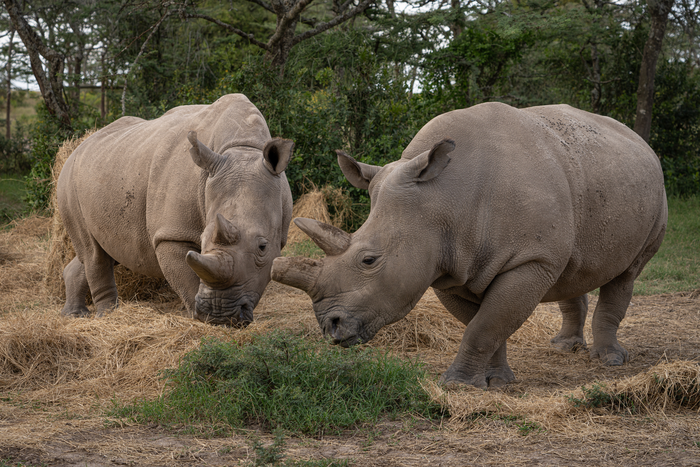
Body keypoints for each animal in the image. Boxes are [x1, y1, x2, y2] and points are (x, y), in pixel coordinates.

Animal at [57, 94, 294, 326]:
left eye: (263, 247)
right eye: (202, 240)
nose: (220, 315)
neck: (243, 148)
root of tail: (75, 149)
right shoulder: (171, 234)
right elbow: (187, 281)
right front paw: (200, 319)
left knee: (102, 251)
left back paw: (73, 315)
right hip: (68, 181)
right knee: (94, 254)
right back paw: (107, 316)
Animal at [272, 102, 667, 388]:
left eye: (369, 260)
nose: (331, 326)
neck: (441, 198)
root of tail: (639, 140)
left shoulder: (529, 260)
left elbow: (486, 325)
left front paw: (457, 386)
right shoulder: (447, 266)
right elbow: (485, 323)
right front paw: (496, 382)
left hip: (654, 192)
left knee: (628, 272)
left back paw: (609, 361)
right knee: (572, 267)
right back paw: (564, 347)